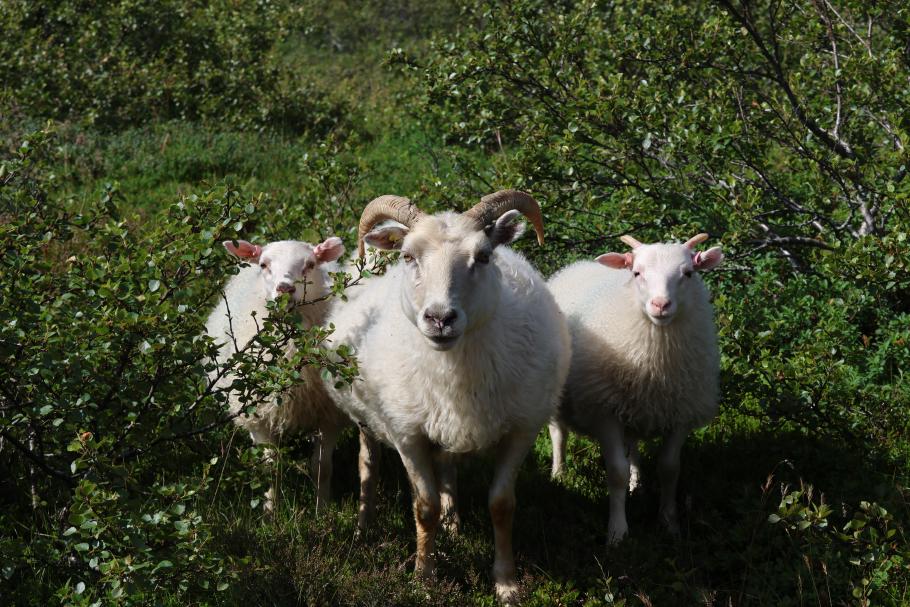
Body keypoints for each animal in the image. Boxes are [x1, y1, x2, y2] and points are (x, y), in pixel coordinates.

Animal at [205, 236, 348, 512]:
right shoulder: (257, 415)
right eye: (264, 264)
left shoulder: (329, 415)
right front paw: (271, 512)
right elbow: (271, 470)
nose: (285, 289)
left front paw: (321, 512)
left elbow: (322, 469)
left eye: (310, 264)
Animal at [323, 191, 571, 602]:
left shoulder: (521, 429)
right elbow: (425, 507)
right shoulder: (407, 434)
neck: (454, 367)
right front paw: (424, 578)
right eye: (408, 256)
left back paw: (453, 525)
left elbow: (501, 505)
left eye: (484, 256)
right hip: (368, 419)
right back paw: (363, 528)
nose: (440, 318)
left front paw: (506, 584)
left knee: (448, 469)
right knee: (368, 467)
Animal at [547, 233, 723, 544]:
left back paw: (637, 484)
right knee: (559, 435)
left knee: (633, 445)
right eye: (637, 273)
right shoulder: (605, 412)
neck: (656, 365)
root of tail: (574, 266)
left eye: (688, 273)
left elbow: (669, 469)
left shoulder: (680, 414)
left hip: (635, 406)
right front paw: (617, 532)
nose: (661, 305)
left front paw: (669, 523)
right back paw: (559, 474)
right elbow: (615, 471)